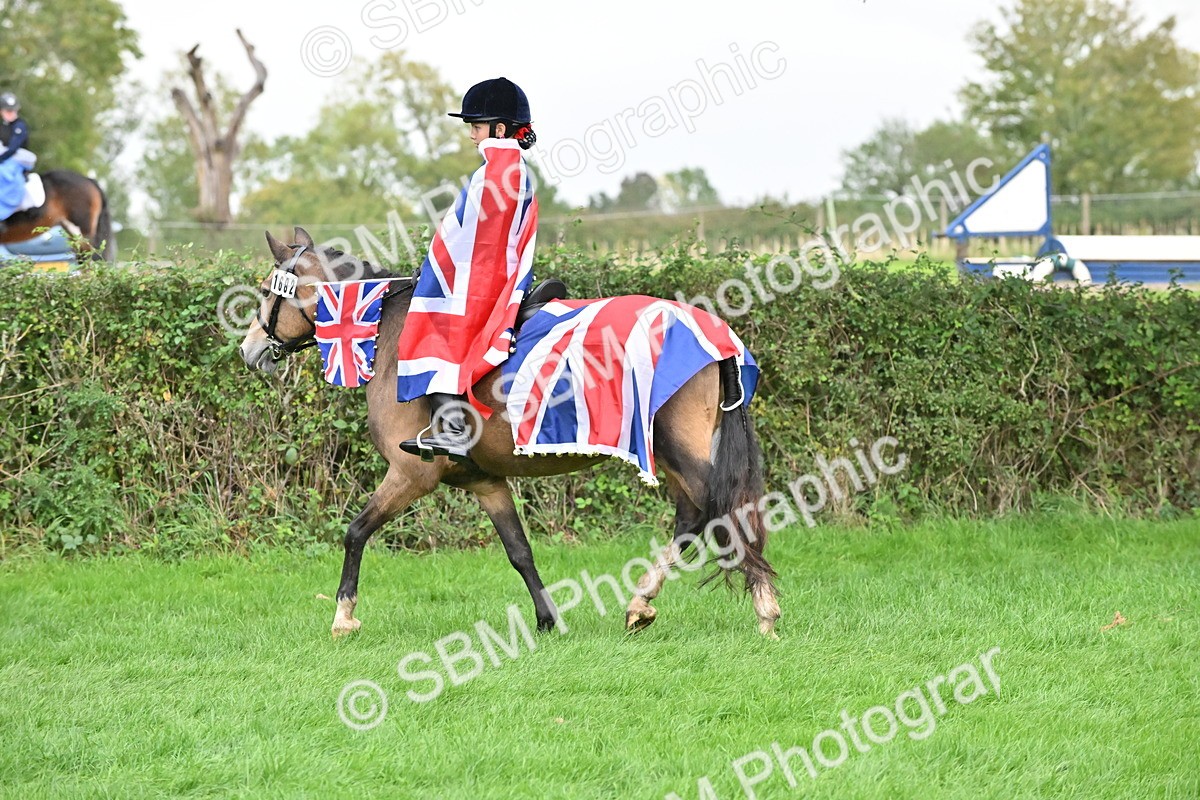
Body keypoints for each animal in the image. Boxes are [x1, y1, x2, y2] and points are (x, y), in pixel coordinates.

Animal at [238, 227, 781, 638]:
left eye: (265, 291)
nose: (248, 350)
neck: (390, 334)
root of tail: (713, 331)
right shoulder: (486, 482)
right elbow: (519, 551)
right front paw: (547, 620)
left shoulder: (411, 475)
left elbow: (355, 532)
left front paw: (344, 615)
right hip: (671, 454)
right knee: (693, 515)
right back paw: (641, 602)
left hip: (676, 448)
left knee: (721, 511)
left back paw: (764, 610)